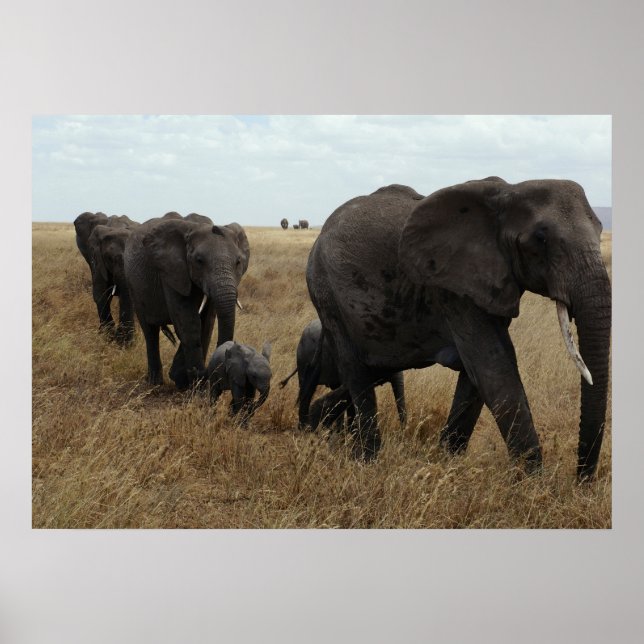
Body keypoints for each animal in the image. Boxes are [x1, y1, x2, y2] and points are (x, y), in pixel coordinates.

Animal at [124, 215, 250, 390]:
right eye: (199, 261)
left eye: (238, 262)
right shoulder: (171, 272)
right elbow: (189, 322)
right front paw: (197, 387)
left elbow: (206, 323)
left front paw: (183, 380)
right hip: (133, 286)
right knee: (149, 331)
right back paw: (155, 383)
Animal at [305, 179, 611, 480]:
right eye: (540, 238)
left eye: (600, 230)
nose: (581, 481)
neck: (509, 191)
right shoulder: (453, 289)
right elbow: (493, 368)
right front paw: (534, 483)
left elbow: (478, 375)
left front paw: (447, 462)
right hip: (327, 295)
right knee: (356, 371)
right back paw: (368, 461)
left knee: (371, 372)